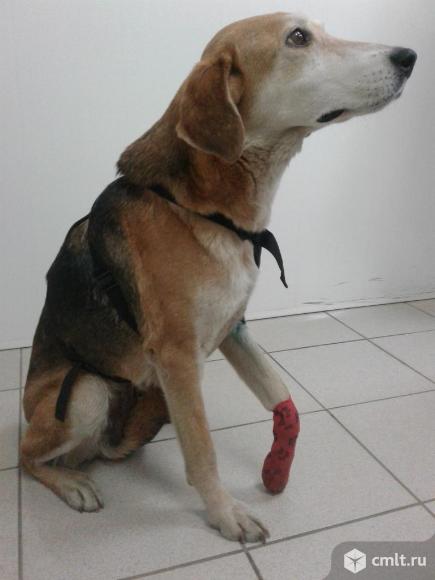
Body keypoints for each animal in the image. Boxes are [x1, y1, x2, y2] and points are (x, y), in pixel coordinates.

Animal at [22, 12, 416, 542]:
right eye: (297, 38)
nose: (409, 57)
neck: (205, 209)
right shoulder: (178, 355)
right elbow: (203, 450)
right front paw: (226, 514)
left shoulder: (233, 329)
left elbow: (282, 398)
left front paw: (278, 464)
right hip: (85, 393)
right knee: (27, 455)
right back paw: (72, 484)